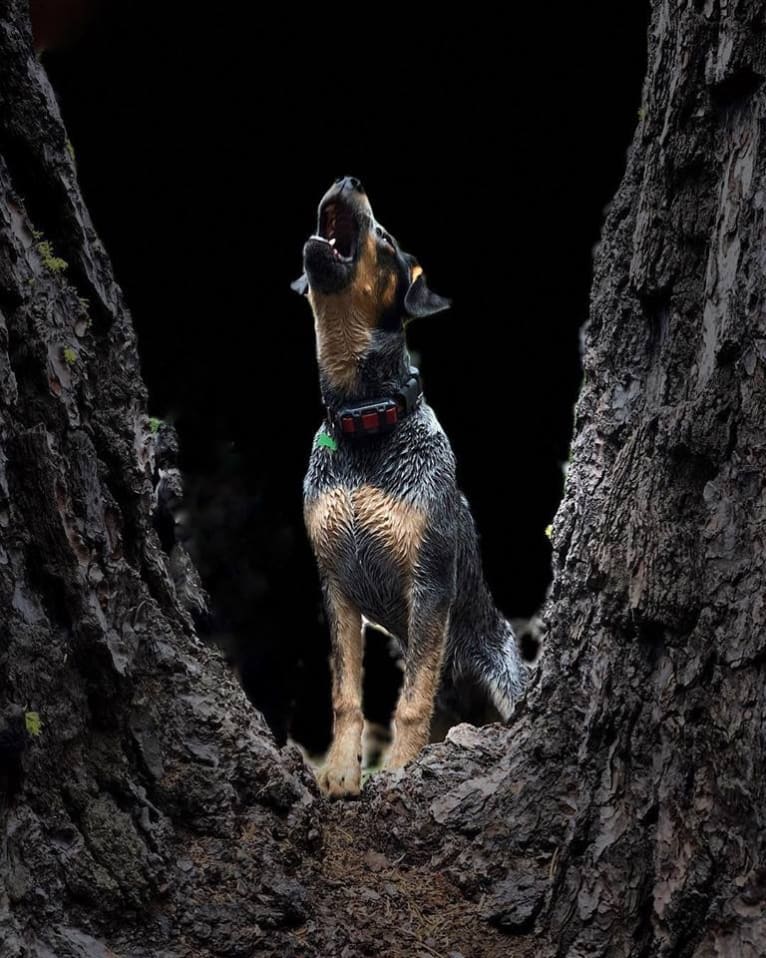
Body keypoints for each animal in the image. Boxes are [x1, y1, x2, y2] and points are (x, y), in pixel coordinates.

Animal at [290, 176, 528, 800]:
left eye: (387, 236)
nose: (350, 178)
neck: (364, 420)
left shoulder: (430, 581)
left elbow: (412, 701)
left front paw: (397, 771)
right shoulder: (336, 586)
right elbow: (346, 695)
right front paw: (341, 771)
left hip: (499, 673)